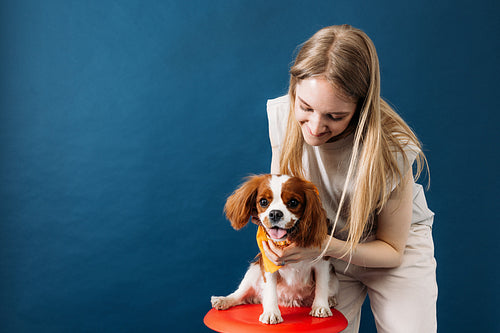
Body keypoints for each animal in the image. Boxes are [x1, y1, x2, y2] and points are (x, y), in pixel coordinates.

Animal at [209, 175, 338, 322]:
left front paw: (321, 307)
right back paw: (224, 300)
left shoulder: (322, 262)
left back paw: (330, 300)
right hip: (253, 271)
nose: (275, 213)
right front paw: (271, 312)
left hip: (334, 281)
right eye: (263, 202)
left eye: (293, 202)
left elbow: (321, 285)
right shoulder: (268, 263)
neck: (286, 241)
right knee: (240, 294)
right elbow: (270, 290)